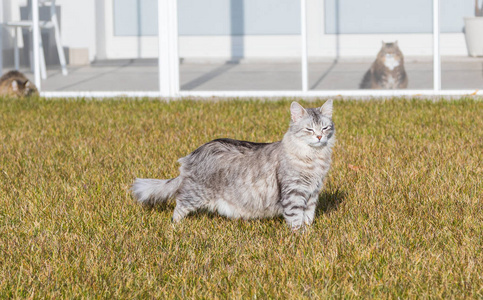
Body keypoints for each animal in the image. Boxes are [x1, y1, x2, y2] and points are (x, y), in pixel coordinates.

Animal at [132, 100, 336, 230]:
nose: (319, 137)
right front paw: (299, 237)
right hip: (195, 193)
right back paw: (176, 226)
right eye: (309, 129)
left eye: (325, 128)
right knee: (179, 205)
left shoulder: (312, 194)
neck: (314, 159)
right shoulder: (294, 193)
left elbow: (308, 217)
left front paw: (308, 234)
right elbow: (295, 219)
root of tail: (193, 154)